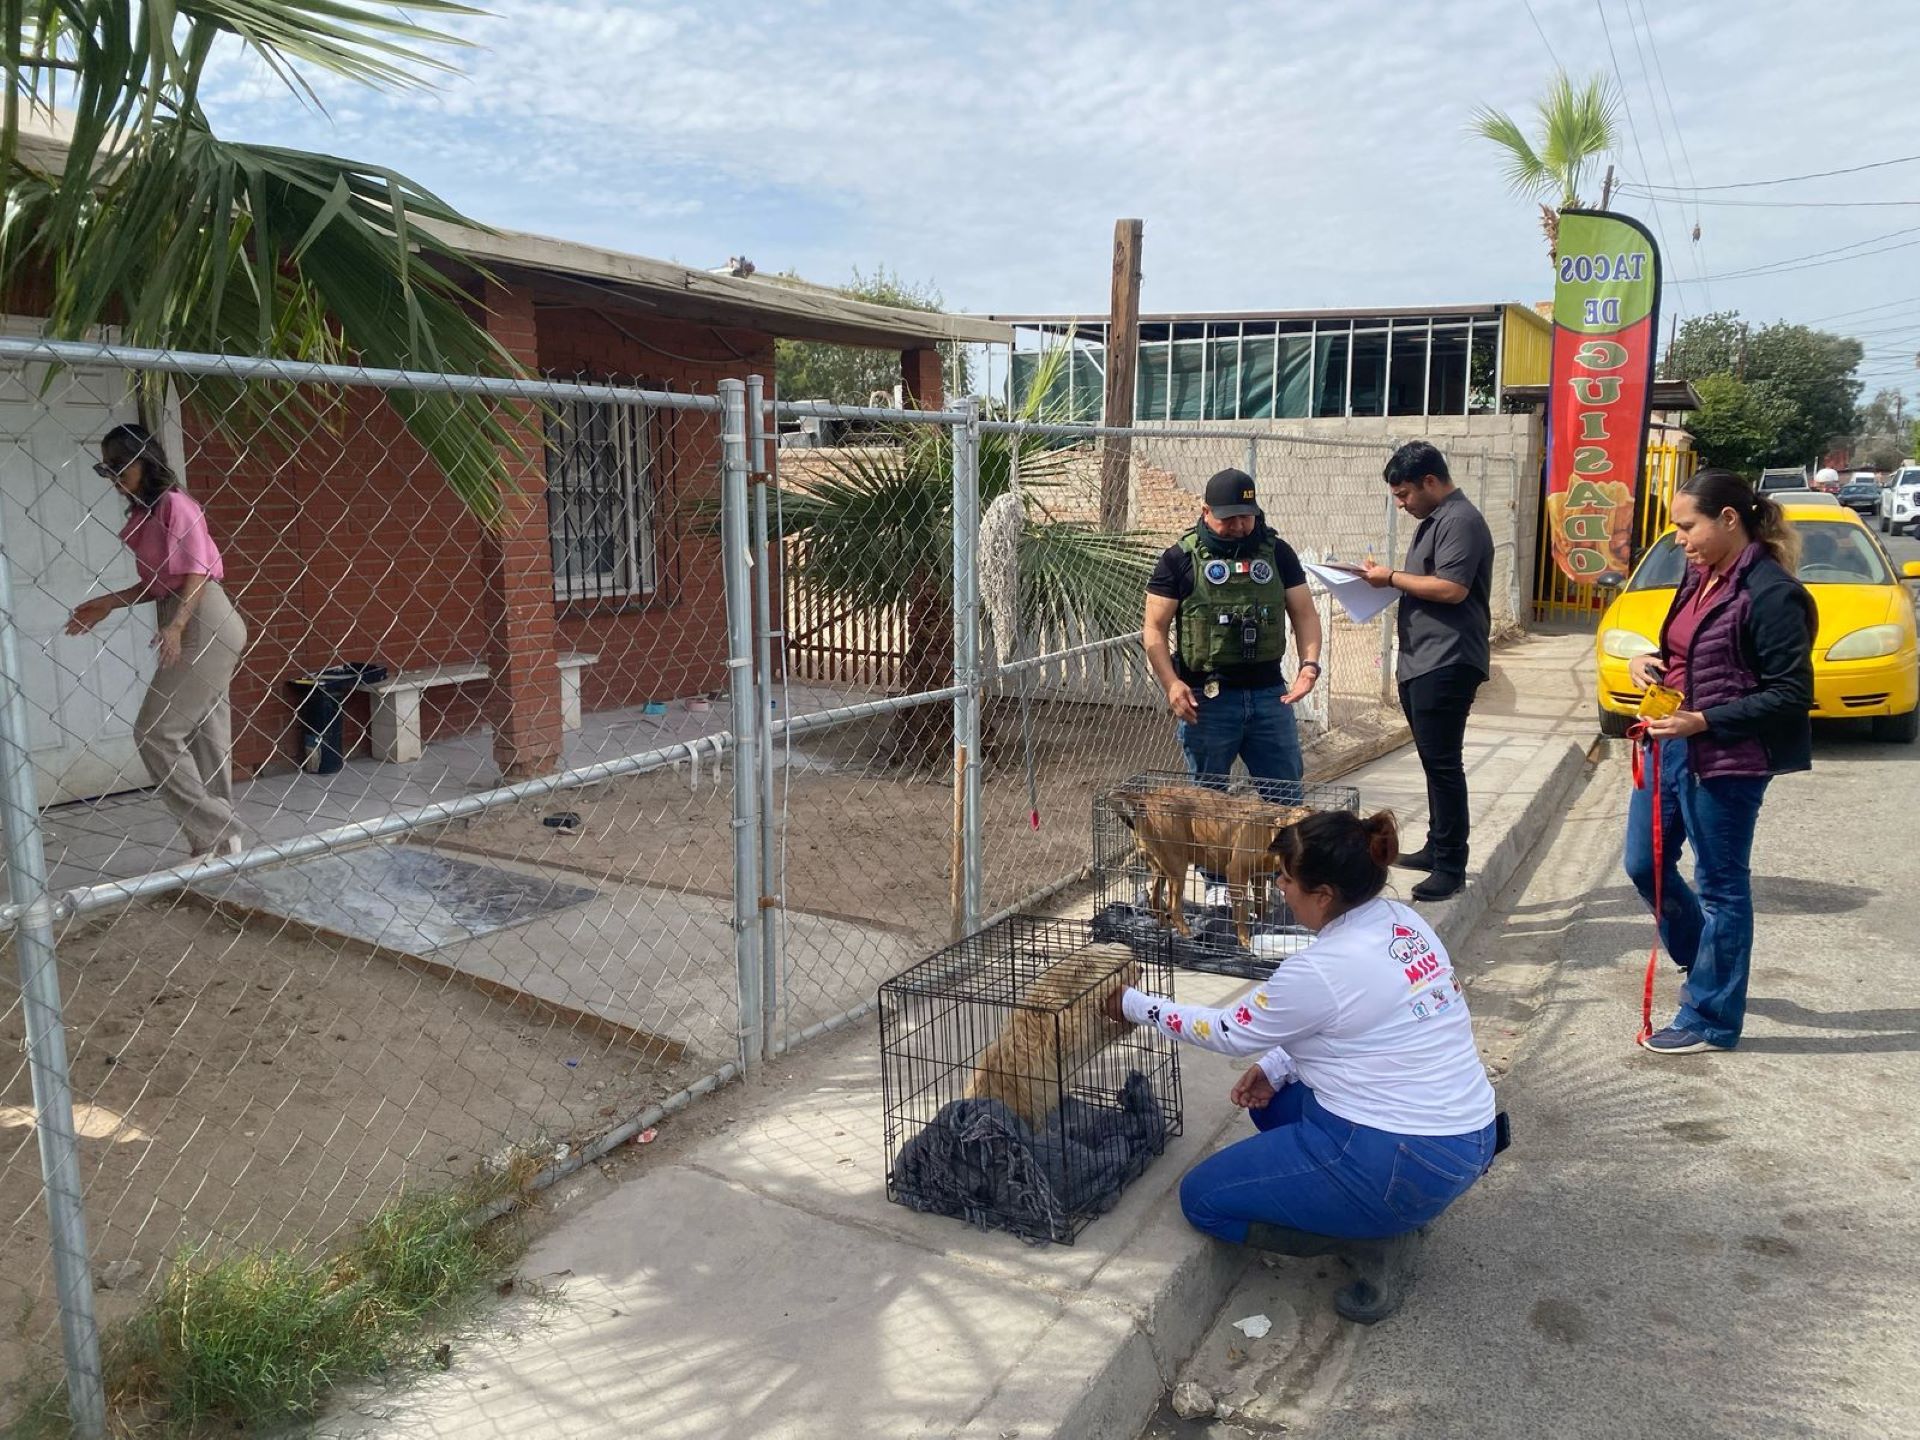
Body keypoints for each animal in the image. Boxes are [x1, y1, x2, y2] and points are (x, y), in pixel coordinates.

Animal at [1105, 791, 1313, 948]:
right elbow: (1241, 912)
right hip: (1177, 867)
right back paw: (1188, 935)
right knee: (1172, 906)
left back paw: (1165, 928)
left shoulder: (1258, 876)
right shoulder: (1236, 873)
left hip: (1161, 867)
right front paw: (1245, 941)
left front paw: (1263, 926)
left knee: (1155, 899)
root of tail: (1145, 798)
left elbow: (1261, 904)